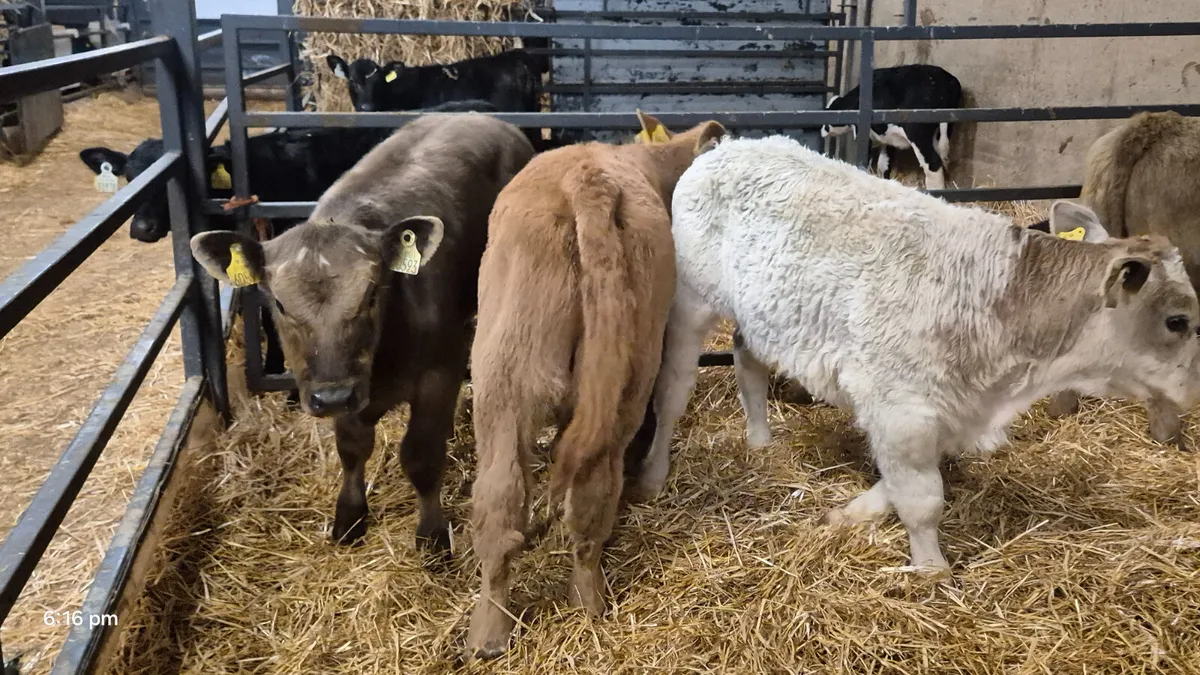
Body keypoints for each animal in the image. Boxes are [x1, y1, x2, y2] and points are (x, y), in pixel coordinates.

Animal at [189, 113, 535, 551]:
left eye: (372, 294)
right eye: (280, 304)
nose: (333, 397)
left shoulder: (440, 372)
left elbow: (422, 455)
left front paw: (432, 534)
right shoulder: (343, 385)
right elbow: (352, 448)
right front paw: (350, 516)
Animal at [821, 64, 962, 190]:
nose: (822, 130)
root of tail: (945, 80)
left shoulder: (864, 134)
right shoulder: (889, 139)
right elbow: (883, 164)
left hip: (917, 133)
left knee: (933, 164)